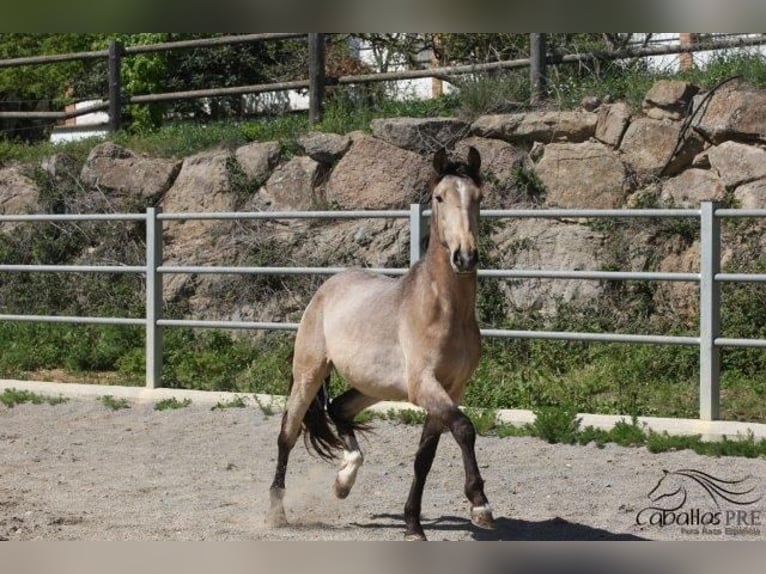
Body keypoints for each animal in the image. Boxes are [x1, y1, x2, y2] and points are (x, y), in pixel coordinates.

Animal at [268, 146, 496, 544]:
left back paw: (344, 480)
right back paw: (277, 512)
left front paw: (413, 526)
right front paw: (480, 506)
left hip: (372, 386)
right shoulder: (425, 386)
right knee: (288, 433)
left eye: (478, 197)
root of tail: (327, 287)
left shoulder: (450, 389)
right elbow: (465, 428)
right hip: (309, 374)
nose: (465, 257)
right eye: (439, 197)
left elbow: (424, 458)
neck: (442, 310)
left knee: (338, 410)